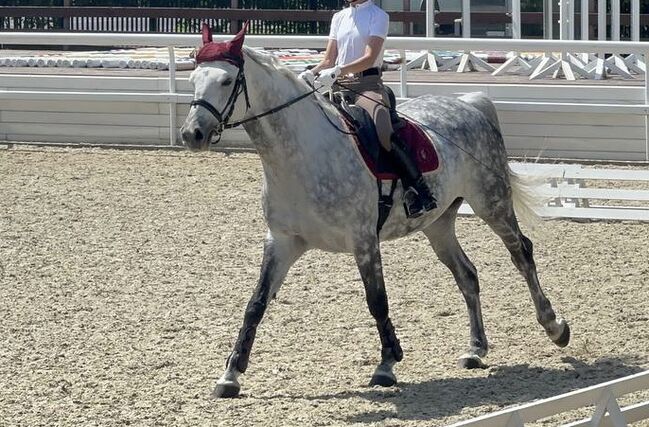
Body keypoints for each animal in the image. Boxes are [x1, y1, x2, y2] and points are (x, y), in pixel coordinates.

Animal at [181, 44, 568, 398]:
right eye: (193, 80)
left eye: (226, 80)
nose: (191, 134)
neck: (302, 155)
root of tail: (469, 103)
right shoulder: (282, 241)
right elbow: (255, 304)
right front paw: (231, 373)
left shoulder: (363, 240)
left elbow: (377, 300)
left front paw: (387, 364)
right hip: (439, 223)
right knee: (467, 274)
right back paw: (475, 349)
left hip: (491, 203)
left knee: (522, 254)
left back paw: (554, 326)